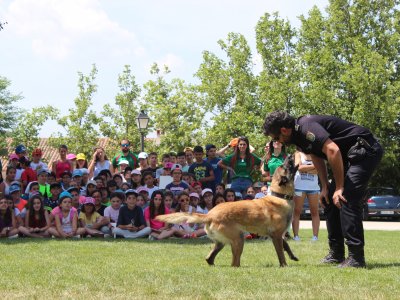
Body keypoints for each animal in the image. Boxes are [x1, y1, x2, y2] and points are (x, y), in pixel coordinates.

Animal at [156, 155, 300, 268]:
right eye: (285, 166)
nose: (289, 156)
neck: (279, 196)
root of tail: (209, 215)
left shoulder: (276, 235)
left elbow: (286, 245)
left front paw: (293, 257)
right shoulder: (276, 235)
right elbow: (281, 253)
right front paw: (284, 265)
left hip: (221, 242)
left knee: (210, 259)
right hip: (239, 239)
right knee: (234, 264)